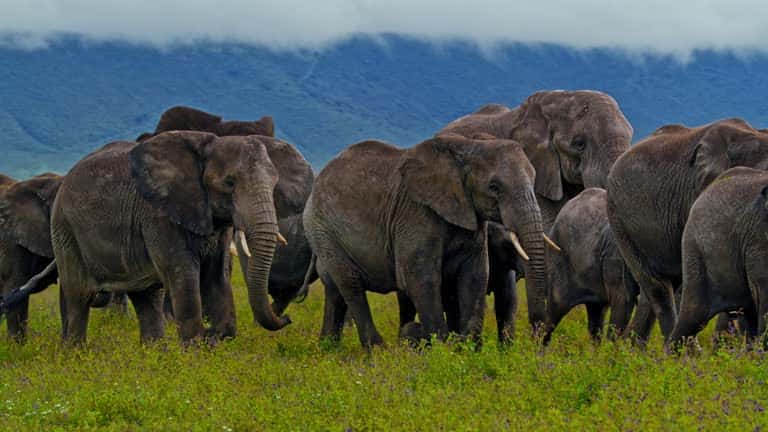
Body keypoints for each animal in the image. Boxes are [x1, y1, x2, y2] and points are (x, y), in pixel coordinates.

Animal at [50, 131, 303, 344]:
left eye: (274, 184)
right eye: (229, 183)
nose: (288, 319)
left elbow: (217, 275)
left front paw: (216, 339)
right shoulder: (158, 214)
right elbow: (183, 273)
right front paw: (195, 350)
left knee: (147, 298)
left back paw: (155, 357)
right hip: (65, 229)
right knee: (79, 296)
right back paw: (74, 354)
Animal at [303, 134, 547, 349]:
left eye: (535, 179)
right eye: (494, 187)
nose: (537, 336)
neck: (468, 146)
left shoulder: (472, 218)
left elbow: (475, 276)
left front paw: (467, 350)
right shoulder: (415, 214)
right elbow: (422, 278)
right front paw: (442, 352)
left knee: (335, 291)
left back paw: (328, 348)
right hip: (324, 231)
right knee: (350, 285)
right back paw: (377, 349)